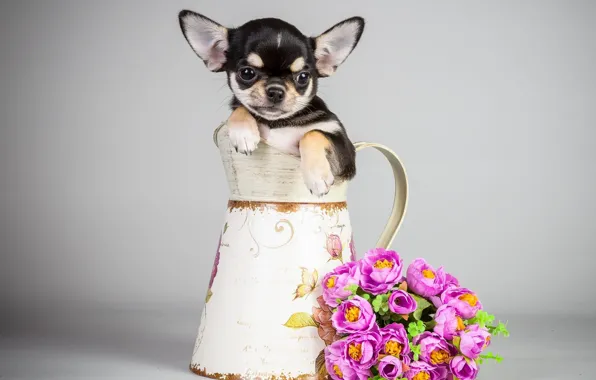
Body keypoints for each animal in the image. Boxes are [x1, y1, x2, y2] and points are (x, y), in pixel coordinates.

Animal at [178, 11, 364, 196]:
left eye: (303, 77)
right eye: (246, 73)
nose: (276, 91)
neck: (276, 122)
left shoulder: (345, 152)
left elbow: (312, 133)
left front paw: (317, 176)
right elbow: (240, 108)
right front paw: (244, 133)